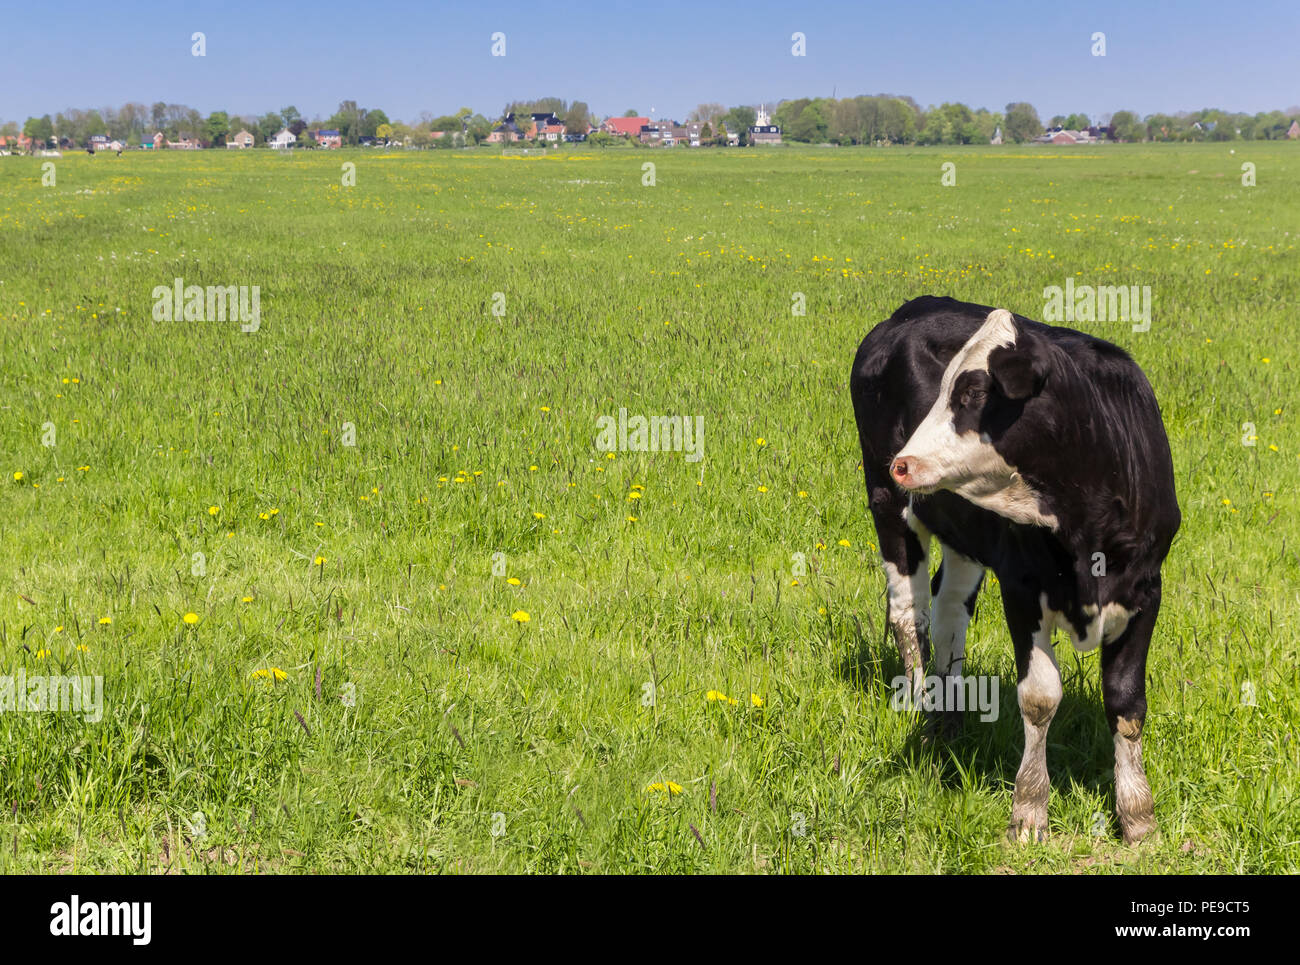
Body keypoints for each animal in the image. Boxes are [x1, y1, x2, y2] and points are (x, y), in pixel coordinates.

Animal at [850, 295, 1180, 844]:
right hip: (888, 506)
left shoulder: (1146, 589)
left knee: (949, 612)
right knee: (908, 614)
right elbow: (1040, 698)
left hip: (964, 537)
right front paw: (1028, 811)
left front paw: (1138, 816)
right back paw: (920, 704)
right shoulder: (1021, 587)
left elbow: (1126, 701)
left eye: (974, 390)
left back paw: (949, 717)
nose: (904, 461)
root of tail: (914, 307)